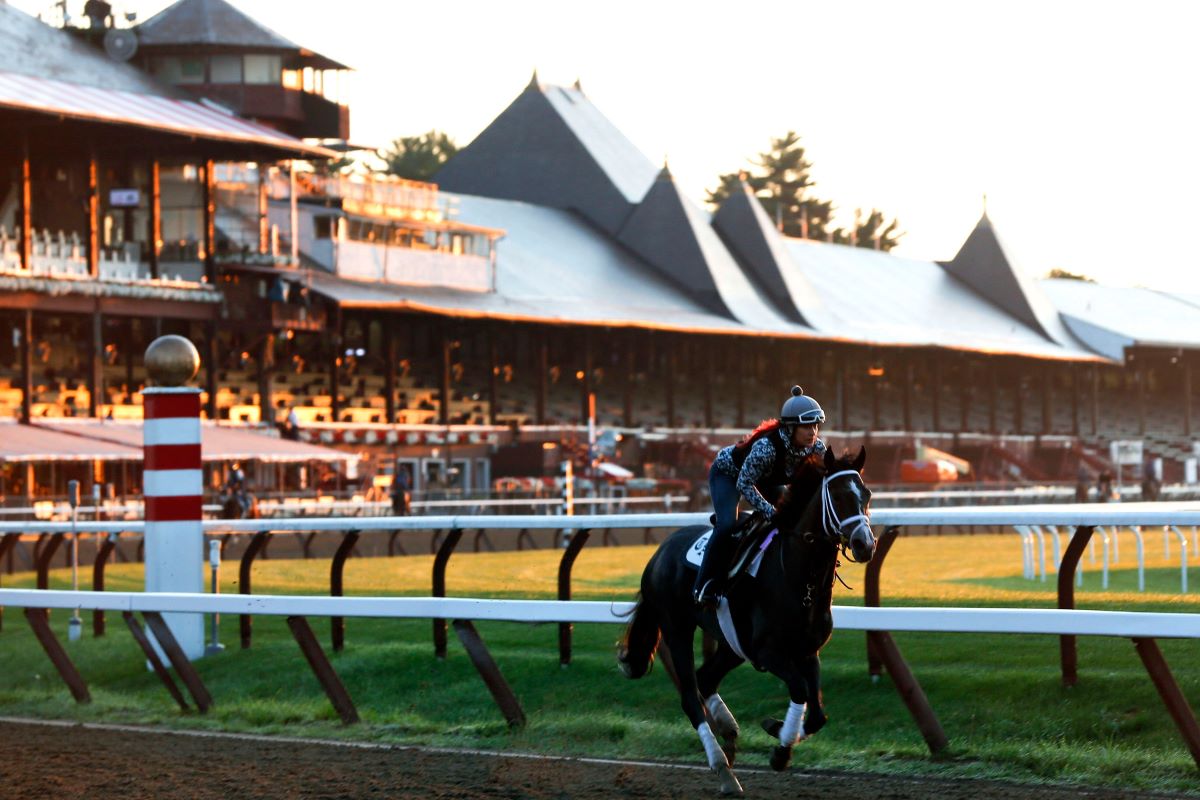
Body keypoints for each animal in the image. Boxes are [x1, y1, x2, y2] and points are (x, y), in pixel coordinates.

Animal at [619, 448, 873, 796]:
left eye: (867, 495)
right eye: (836, 495)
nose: (865, 544)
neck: (800, 579)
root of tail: (657, 554)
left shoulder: (808, 651)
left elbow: (817, 714)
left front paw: (778, 730)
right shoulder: (768, 653)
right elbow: (799, 689)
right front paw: (780, 750)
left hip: (731, 645)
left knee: (705, 678)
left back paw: (727, 728)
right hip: (677, 629)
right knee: (690, 696)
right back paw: (722, 768)